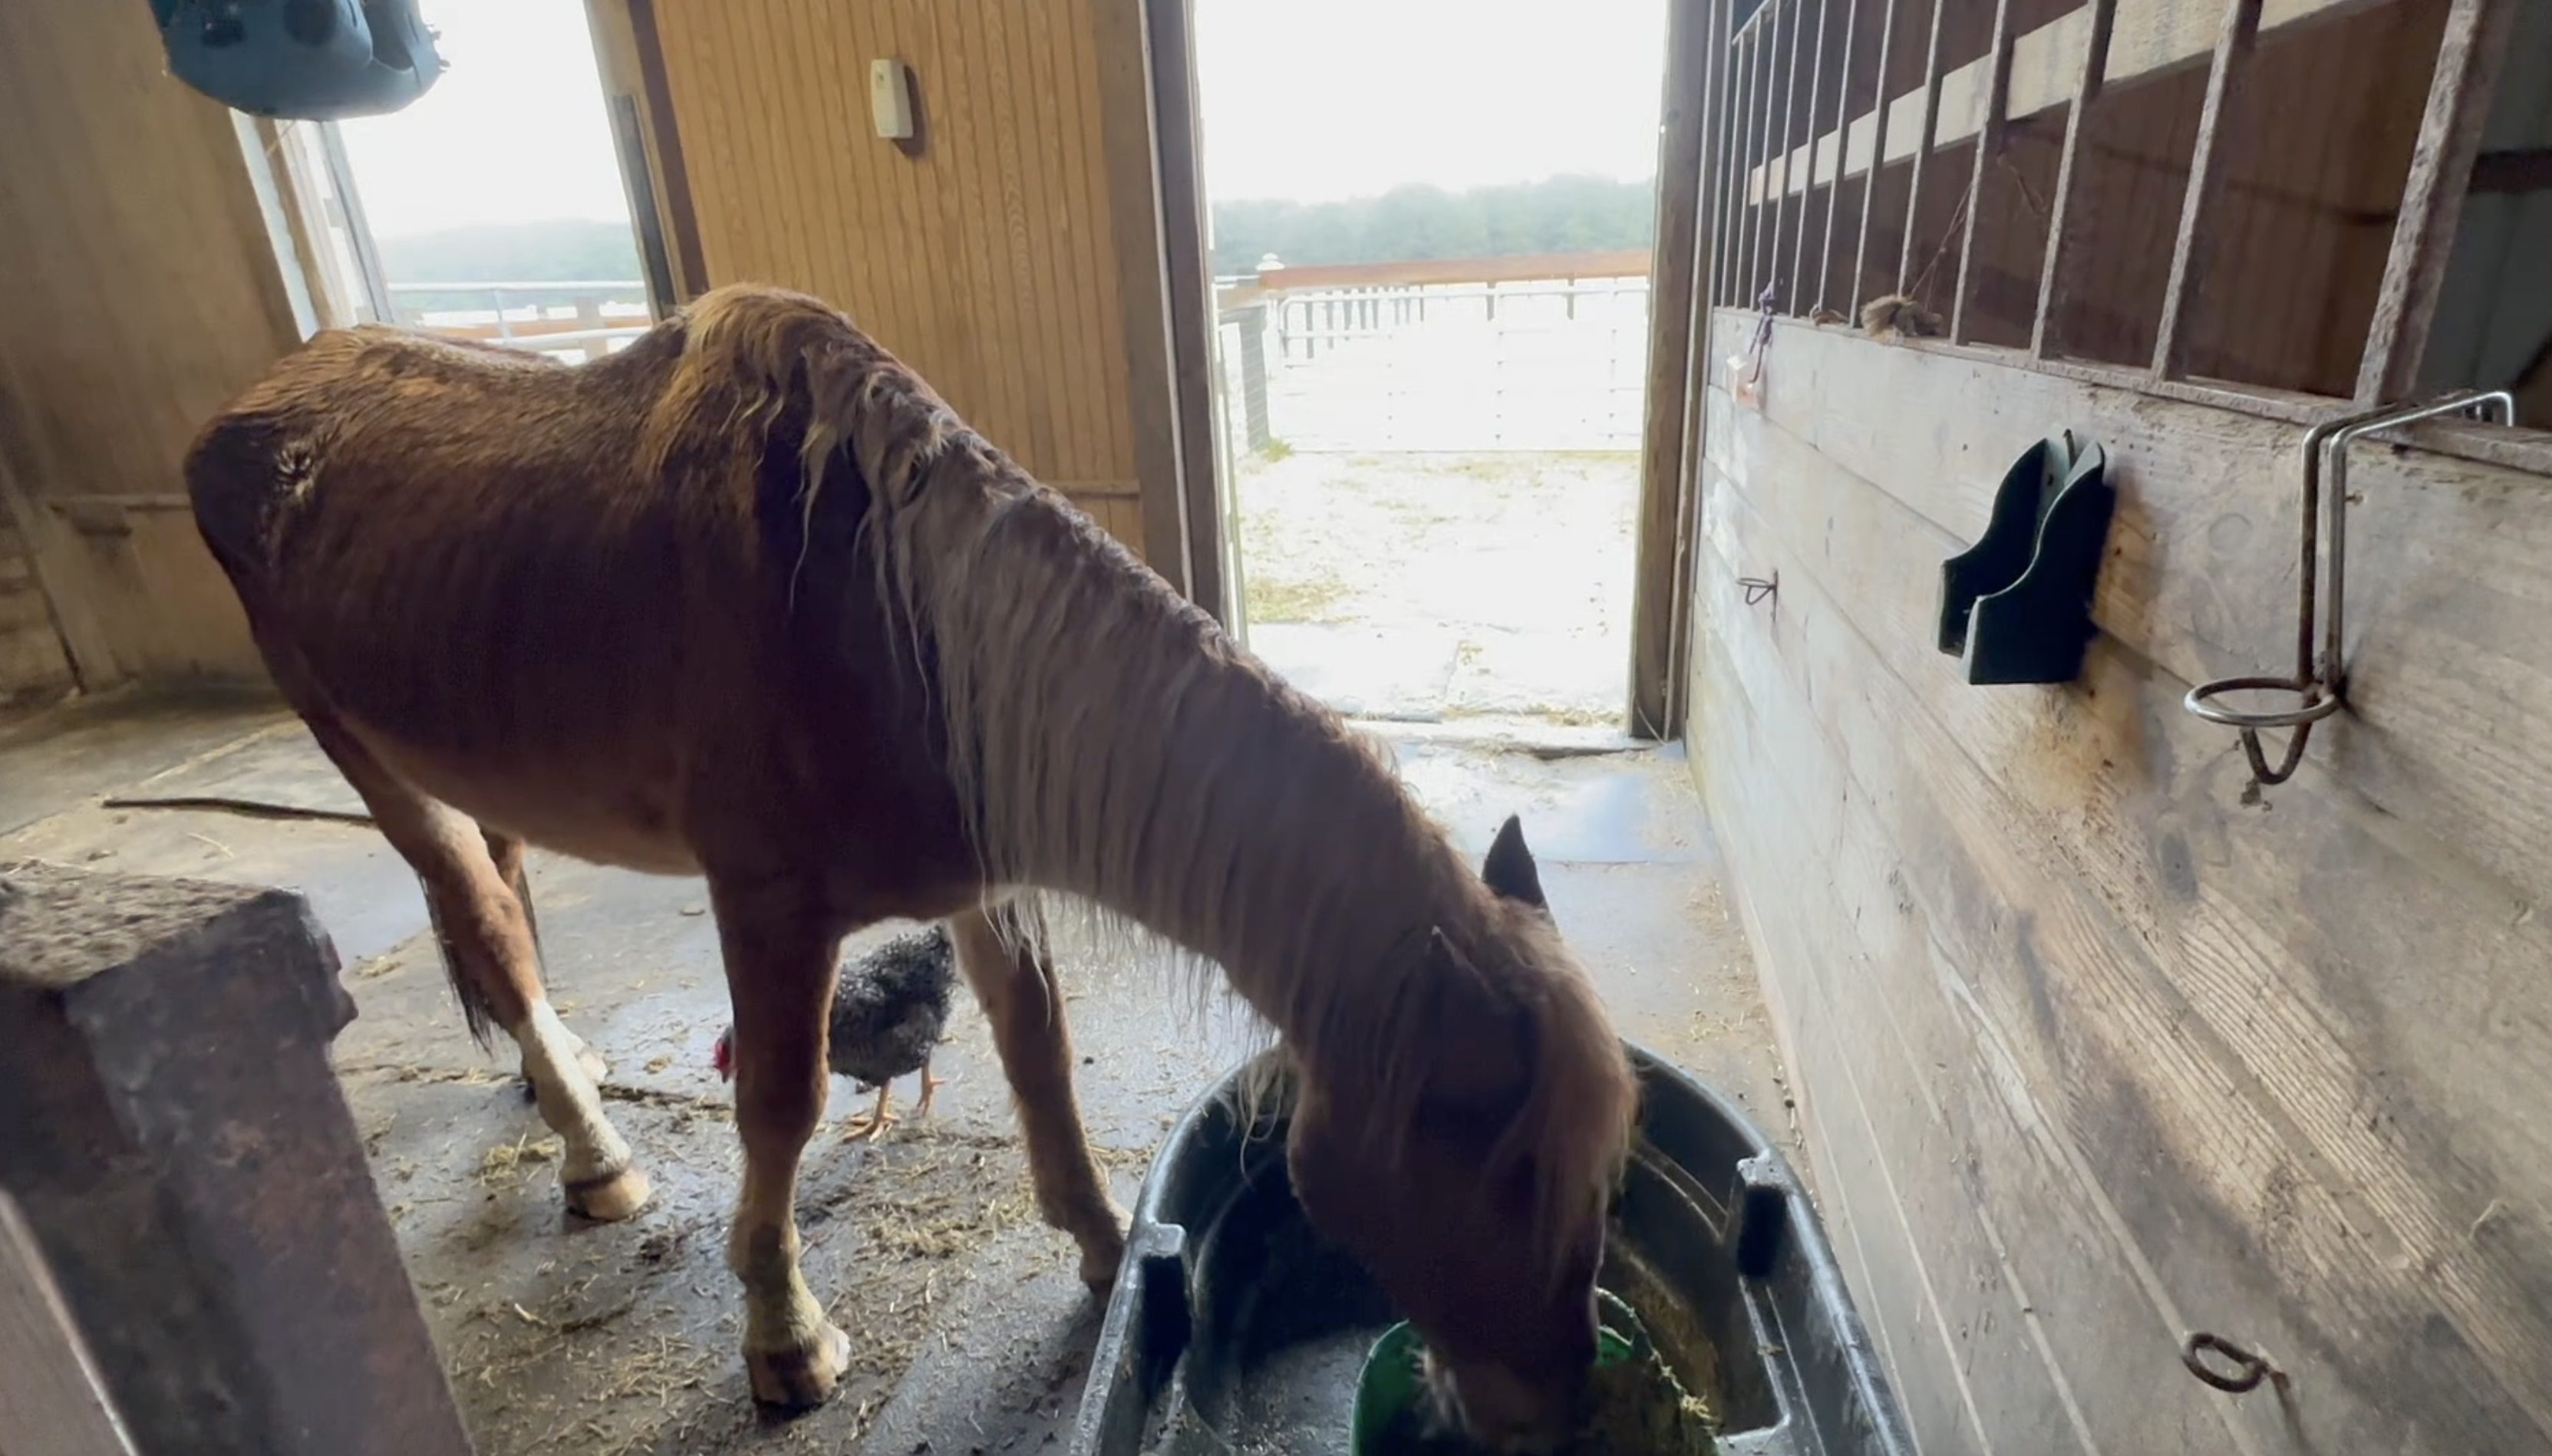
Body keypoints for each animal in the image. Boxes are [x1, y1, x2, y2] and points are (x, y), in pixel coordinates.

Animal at [183, 283, 1639, 1446]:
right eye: (1508, 1172)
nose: (1562, 1410)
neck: (890, 624)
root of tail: (244, 412)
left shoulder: (982, 886)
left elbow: (1038, 1052)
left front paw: (1108, 1250)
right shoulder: (770, 906)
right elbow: (780, 1104)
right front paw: (782, 1336)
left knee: (503, 902)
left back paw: (566, 1082)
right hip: (360, 750)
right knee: (477, 912)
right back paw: (596, 1149)